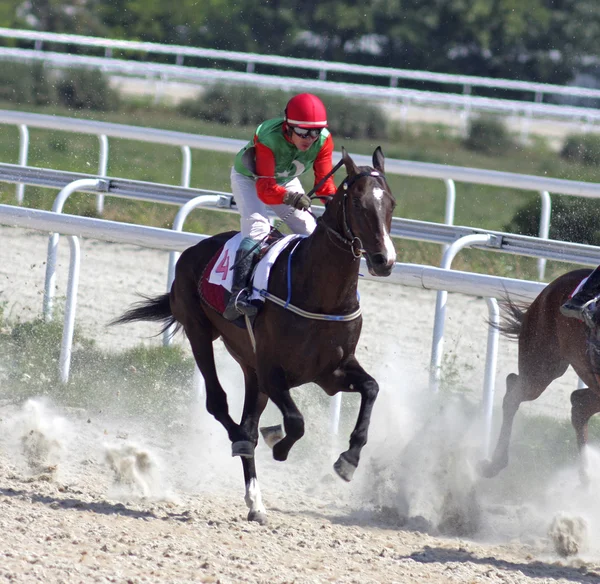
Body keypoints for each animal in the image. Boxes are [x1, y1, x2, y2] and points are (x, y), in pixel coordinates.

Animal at [112, 148, 396, 524]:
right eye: (360, 205)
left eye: (391, 203)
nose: (384, 260)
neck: (321, 294)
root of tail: (194, 250)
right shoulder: (272, 371)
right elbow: (296, 422)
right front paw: (280, 445)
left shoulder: (331, 371)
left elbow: (371, 388)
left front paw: (348, 460)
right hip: (200, 333)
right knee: (221, 407)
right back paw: (245, 448)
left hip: (250, 368)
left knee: (247, 420)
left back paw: (255, 499)